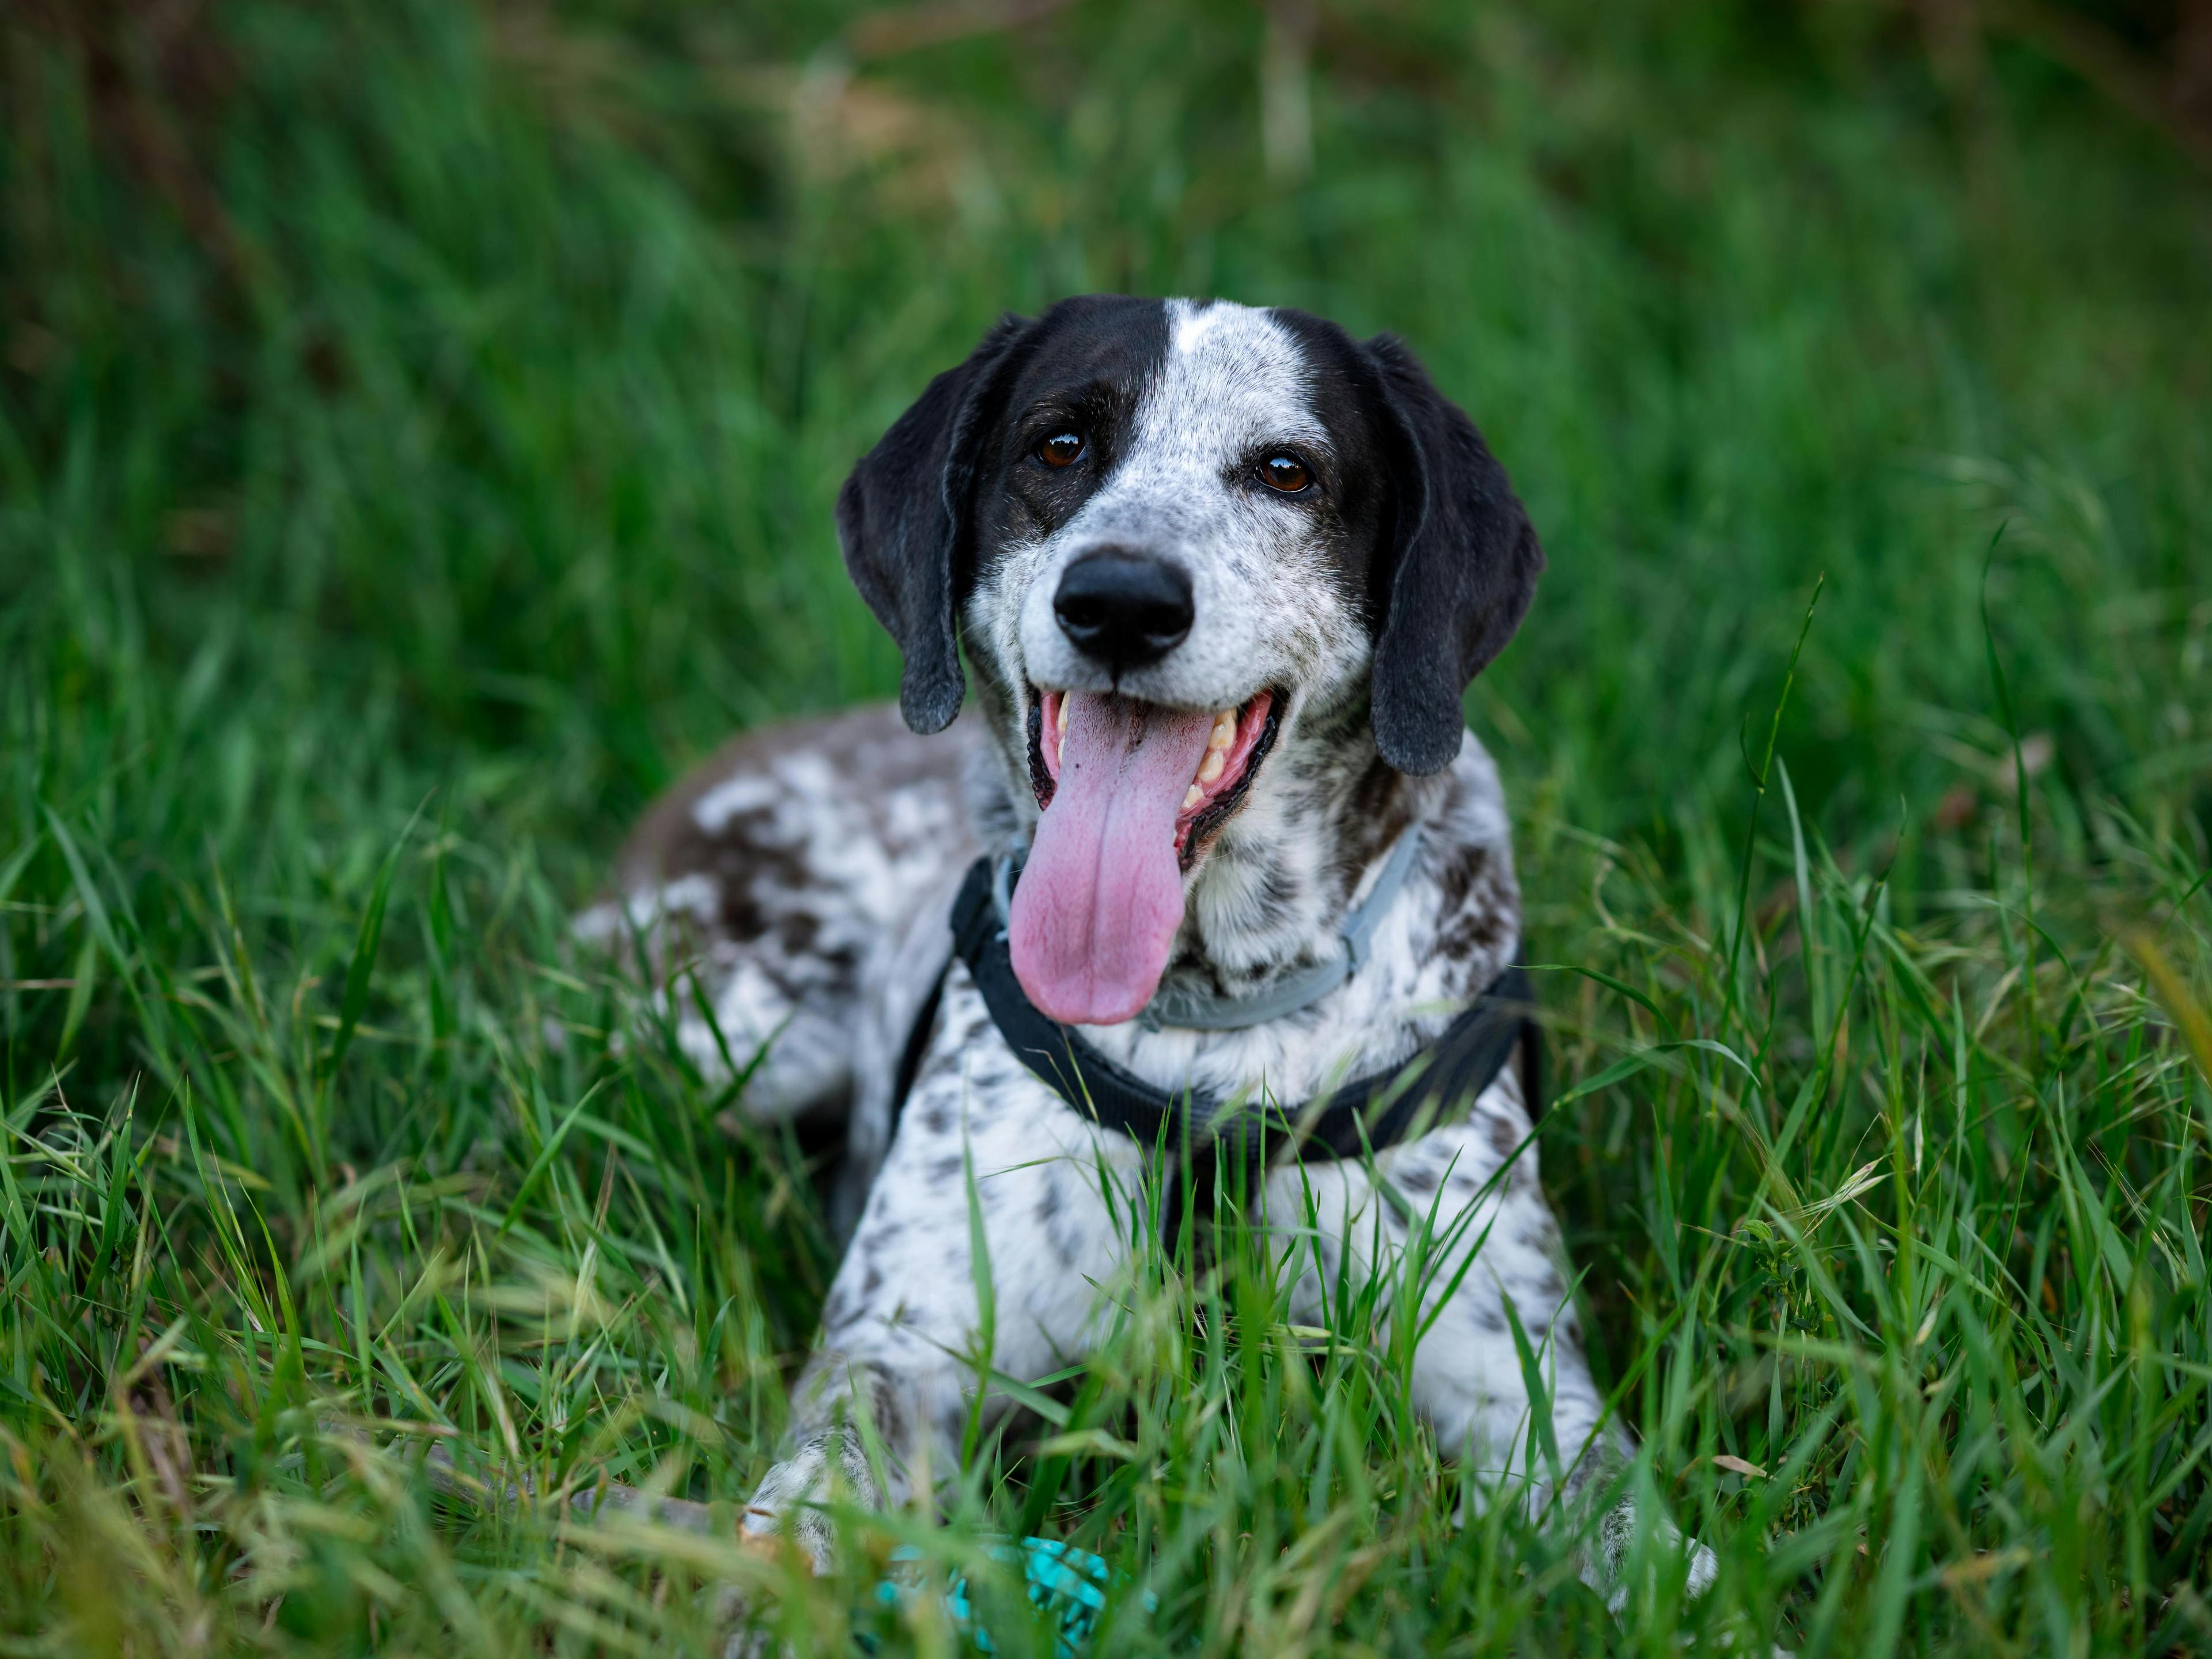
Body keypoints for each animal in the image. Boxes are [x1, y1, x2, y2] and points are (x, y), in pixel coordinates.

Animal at [575, 296, 1707, 1601]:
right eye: (1059, 445)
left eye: (1286, 470)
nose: (1119, 600)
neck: (1211, 1008)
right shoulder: (900, 1345)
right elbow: (813, 1496)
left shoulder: (1507, 1371)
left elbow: (1632, 1529)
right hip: (738, 1042)